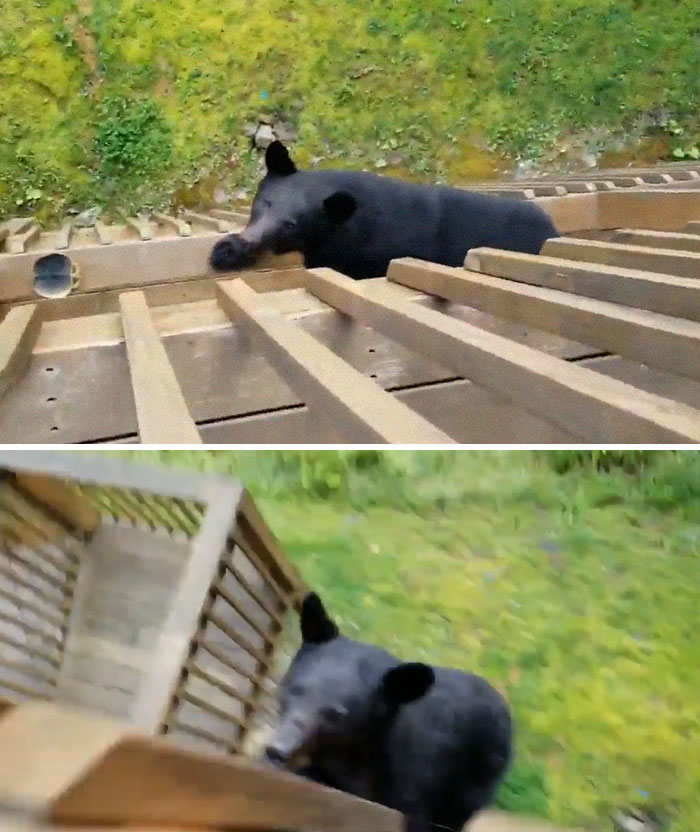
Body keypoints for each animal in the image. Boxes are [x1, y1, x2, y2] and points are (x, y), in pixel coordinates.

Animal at [209, 141, 558, 280]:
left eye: (291, 224)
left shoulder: (361, 255)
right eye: (263, 203)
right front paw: (227, 251)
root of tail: (553, 230)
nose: (237, 244)